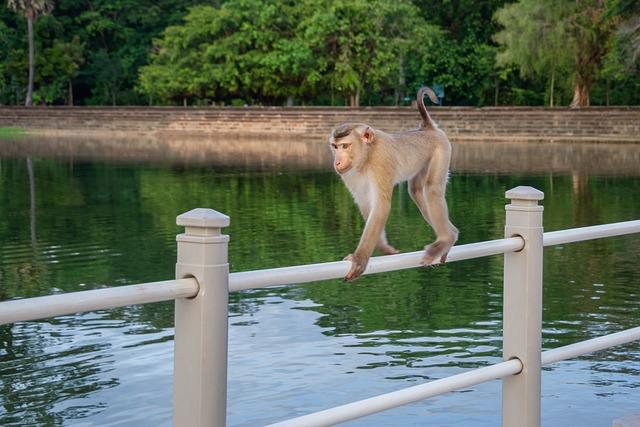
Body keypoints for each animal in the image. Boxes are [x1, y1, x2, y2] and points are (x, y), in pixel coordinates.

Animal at [330, 86, 460, 280]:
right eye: (335, 146)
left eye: (345, 146)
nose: (337, 161)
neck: (366, 156)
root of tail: (428, 128)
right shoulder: (350, 173)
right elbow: (366, 203)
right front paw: (383, 247)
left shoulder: (380, 161)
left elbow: (381, 205)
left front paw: (360, 258)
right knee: (416, 191)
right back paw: (452, 234)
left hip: (442, 150)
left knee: (431, 190)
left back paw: (446, 239)